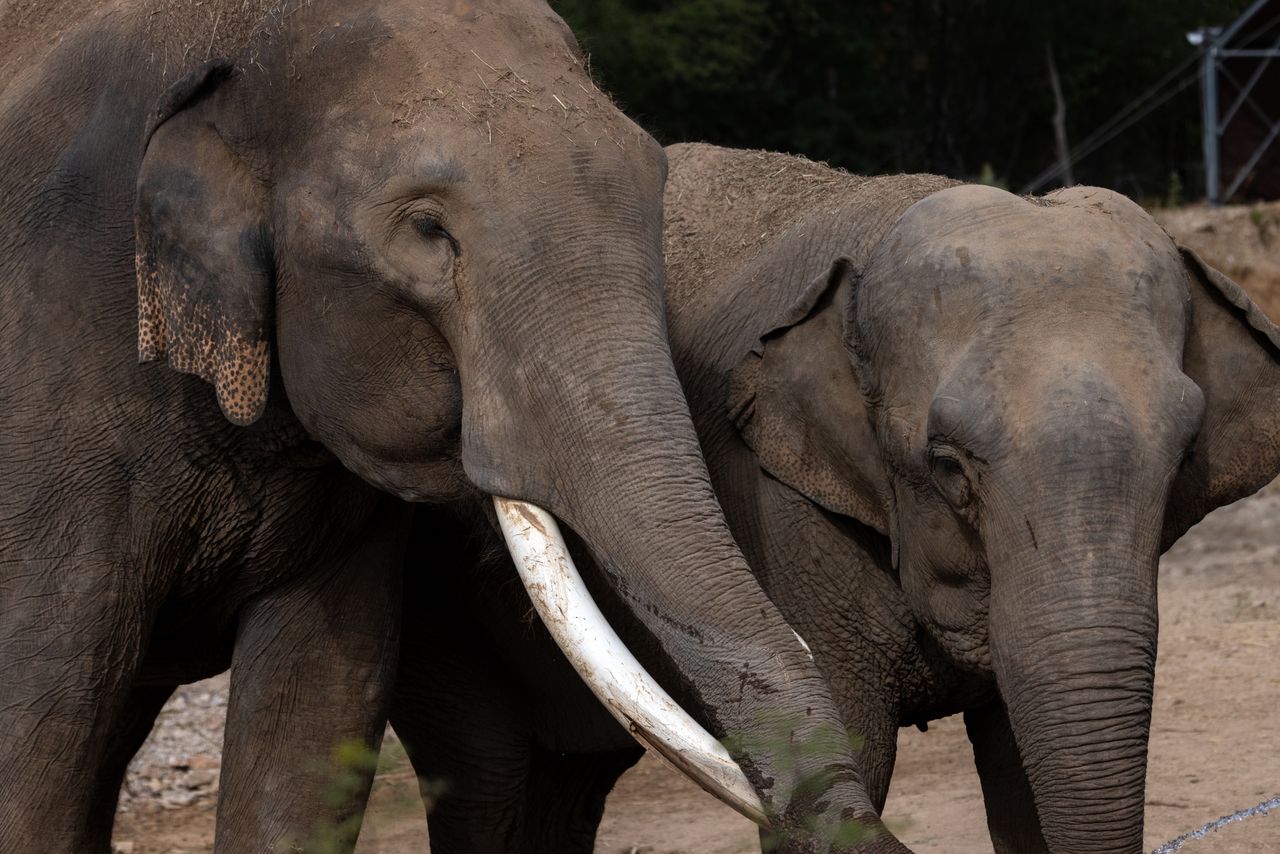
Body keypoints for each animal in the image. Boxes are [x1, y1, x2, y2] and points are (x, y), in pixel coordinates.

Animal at [389, 143, 1280, 854]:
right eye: (947, 466)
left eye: (1183, 458)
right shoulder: (778, 515)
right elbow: (852, 755)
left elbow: (1022, 778)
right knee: (484, 773)